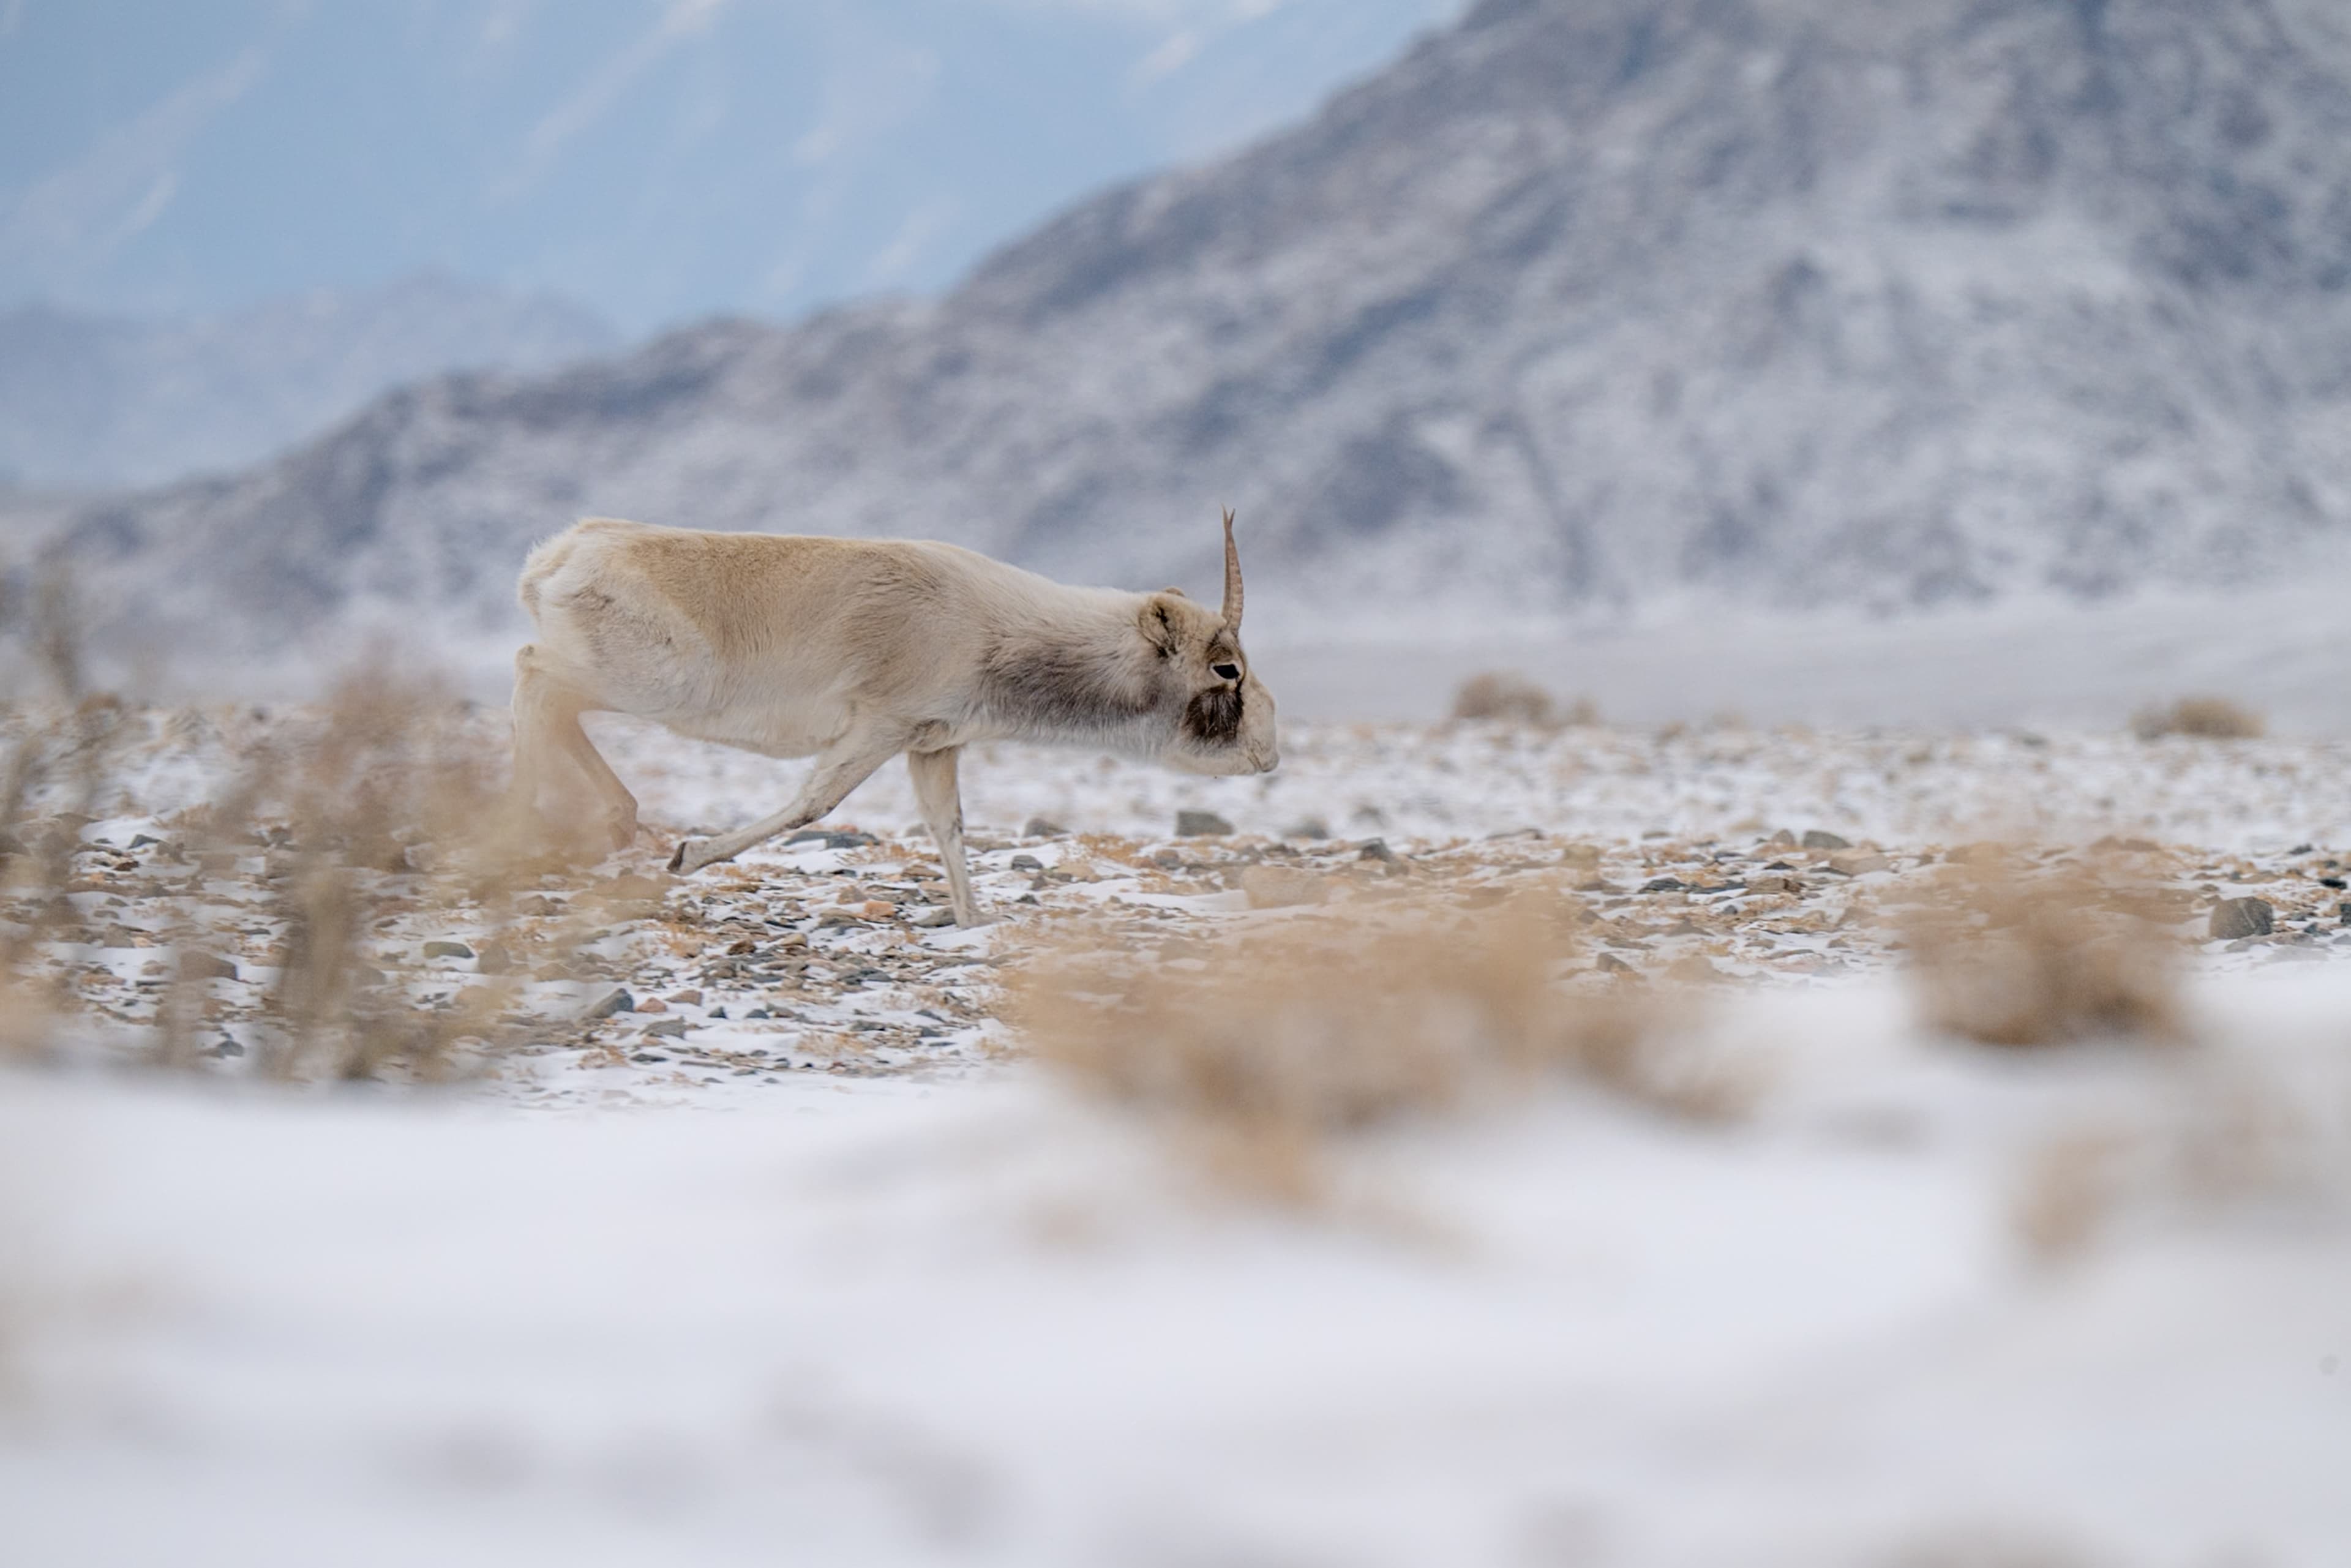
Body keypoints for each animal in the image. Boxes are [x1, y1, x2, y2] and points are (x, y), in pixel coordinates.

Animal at [507, 511, 1276, 926]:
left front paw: (973, 919)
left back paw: (610, 817)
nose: (1268, 755)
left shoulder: (930, 747)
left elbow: (949, 827)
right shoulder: (879, 727)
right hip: (645, 683)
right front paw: (689, 854)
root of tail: (561, 555)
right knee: (534, 673)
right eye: (1226, 668)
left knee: (548, 697)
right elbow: (813, 804)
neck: (998, 623)